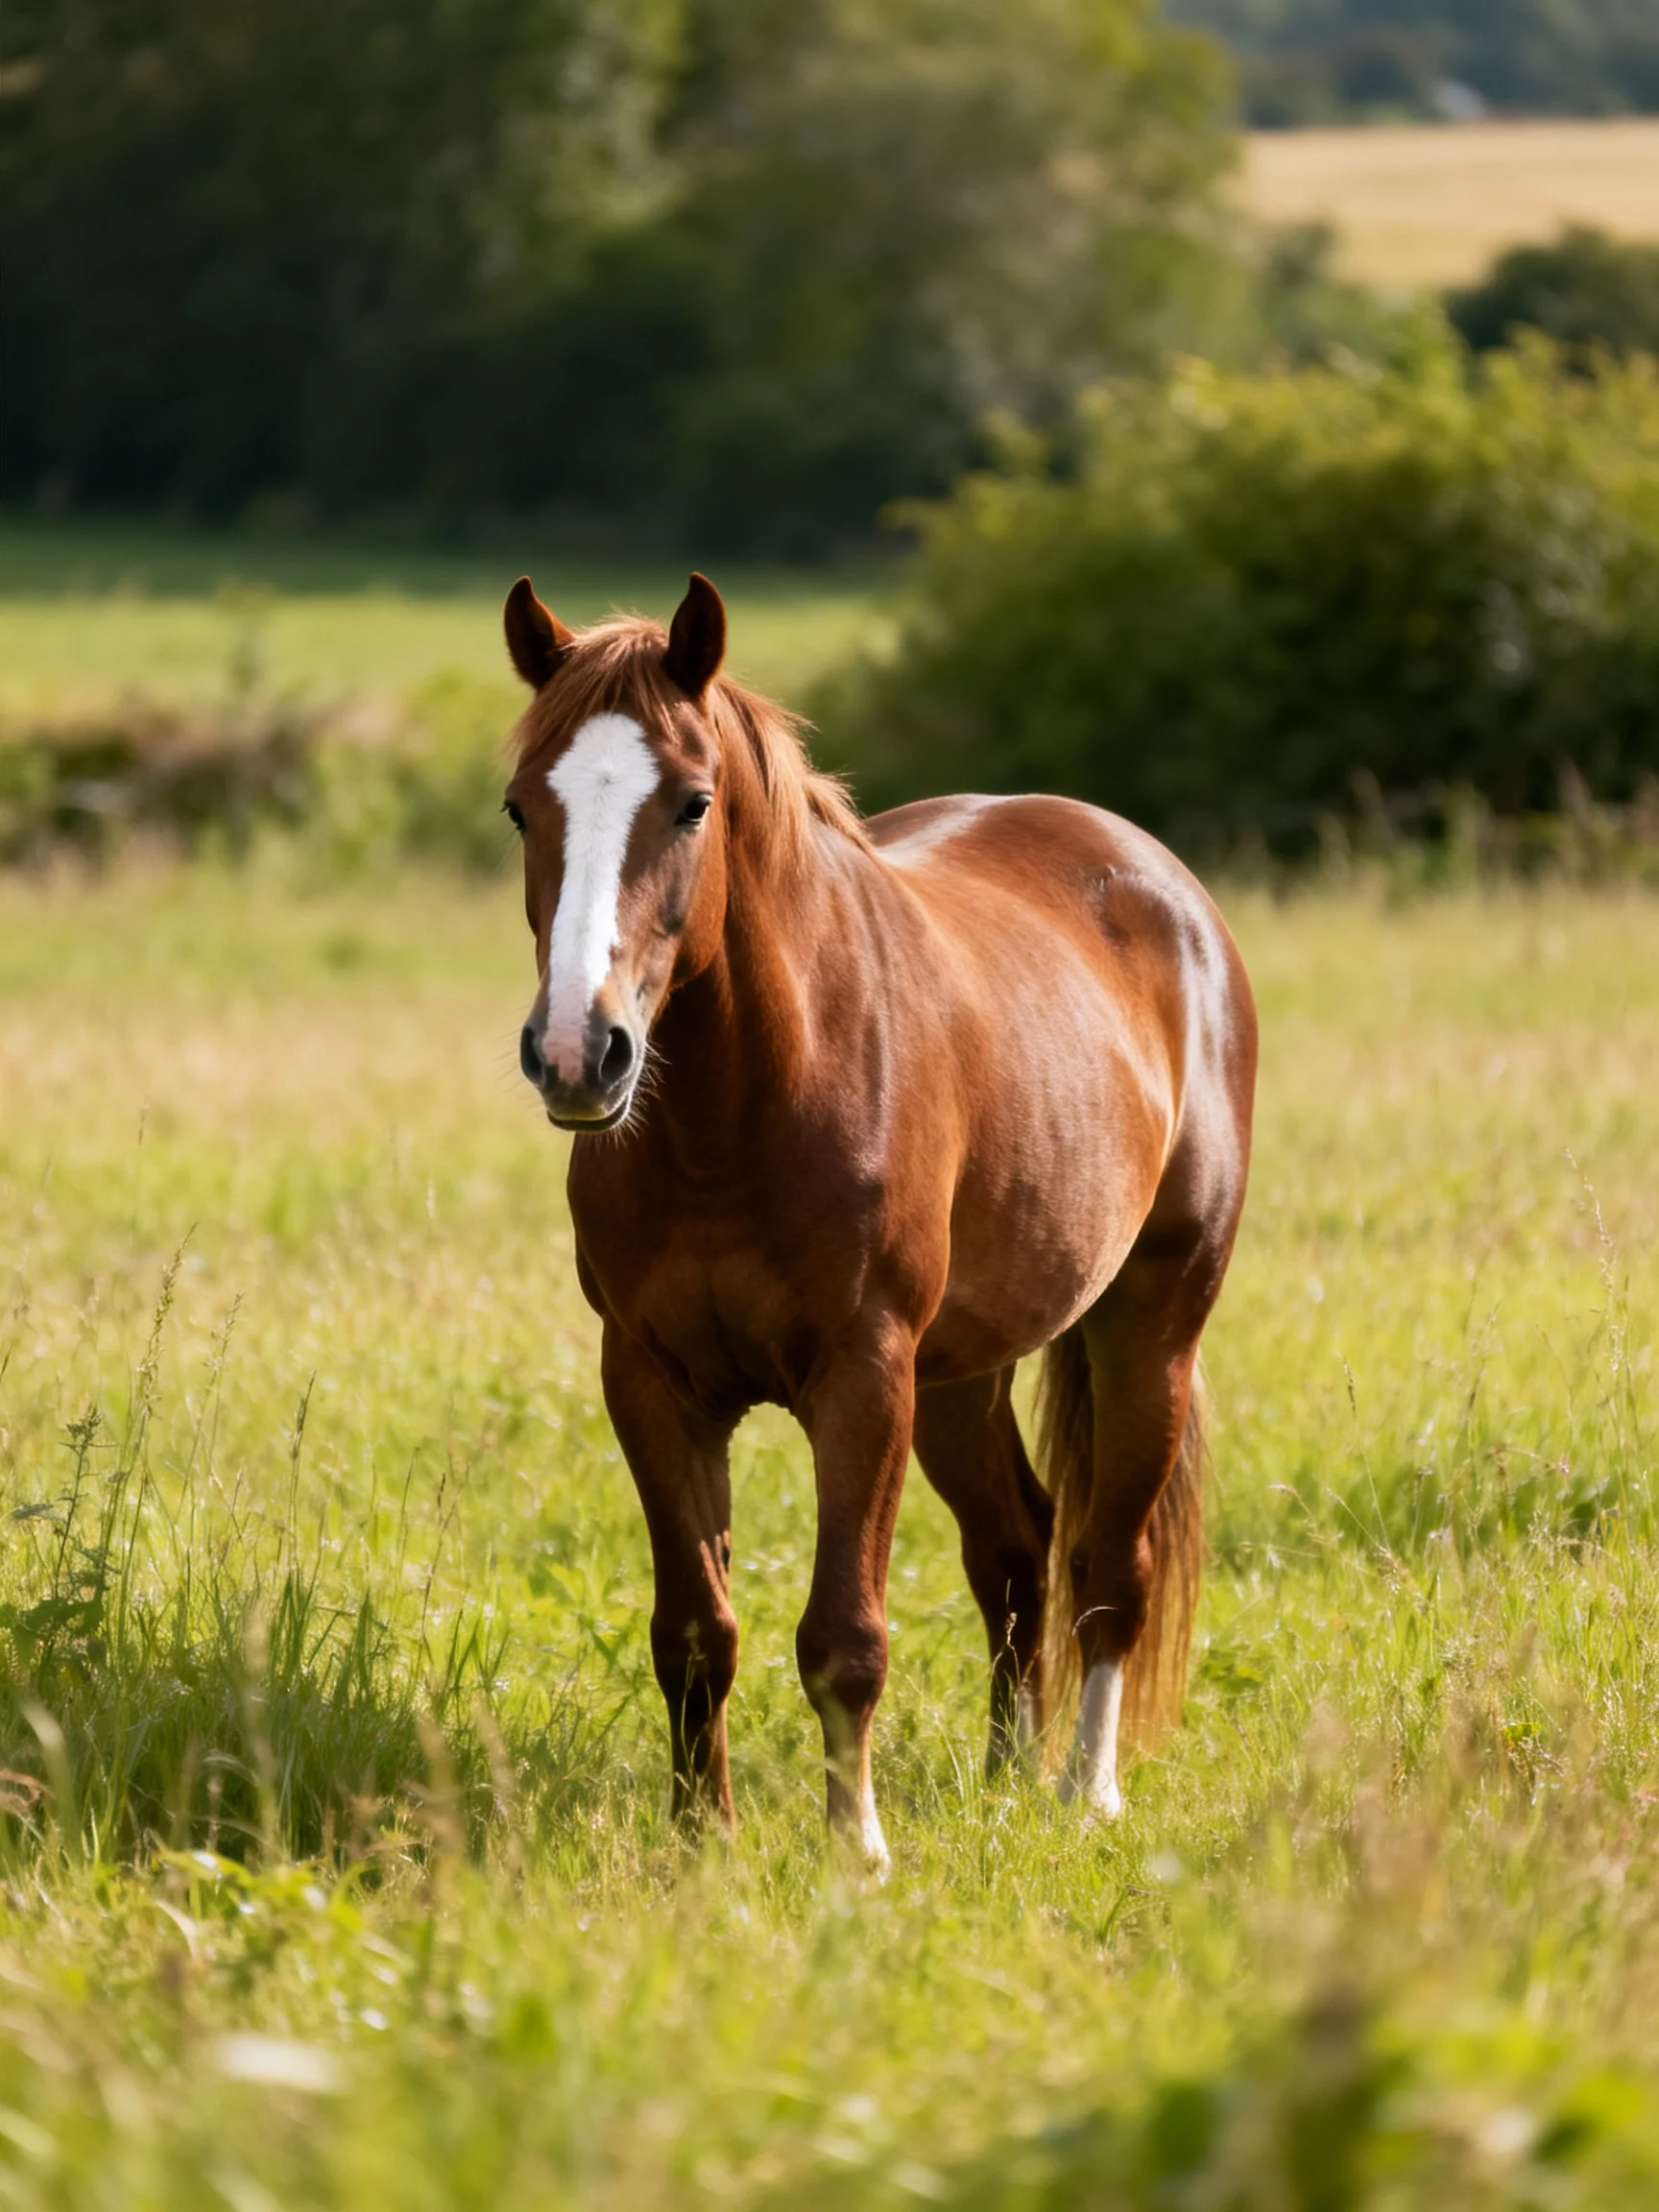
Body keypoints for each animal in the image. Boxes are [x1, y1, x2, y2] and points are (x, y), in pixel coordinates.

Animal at [501, 571, 1257, 1869]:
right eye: (517, 810)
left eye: (693, 803)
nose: (575, 1052)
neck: (740, 1112)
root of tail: (1163, 886)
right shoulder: (651, 1380)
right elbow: (694, 1629)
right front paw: (702, 1842)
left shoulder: (863, 1377)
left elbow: (844, 1637)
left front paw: (855, 1850)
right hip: (961, 1375)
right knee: (1015, 1550)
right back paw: (1005, 1777)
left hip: (1148, 1329)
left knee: (1110, 1564)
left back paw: (1085, 1791)